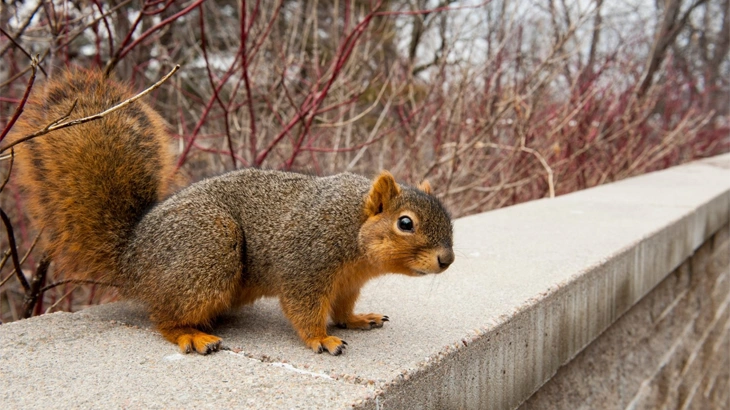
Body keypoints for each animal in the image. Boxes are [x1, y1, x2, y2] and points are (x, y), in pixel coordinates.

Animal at [8, 69, 455, 355]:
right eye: (405, 223)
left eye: (448, 221)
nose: (447, 261)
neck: (352, 227)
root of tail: (132, 255)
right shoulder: (306, 265)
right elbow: (304, 309)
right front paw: (321, 339)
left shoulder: (347, 282)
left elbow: (342, 309)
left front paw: (357, 319)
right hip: (208, 248)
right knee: (163, 318)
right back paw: (191, 336)